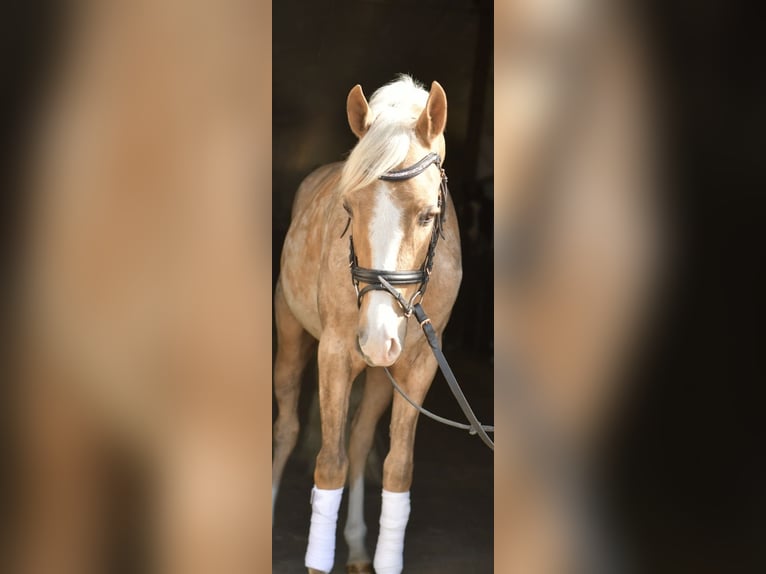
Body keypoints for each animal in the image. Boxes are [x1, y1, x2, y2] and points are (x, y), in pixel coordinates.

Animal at [272, 75, 462, 574]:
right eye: (349, 208)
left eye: (427, 215)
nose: (377, 339)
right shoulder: (335, 354)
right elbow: (329, 464)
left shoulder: (419, 366)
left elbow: (397, 469)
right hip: (293, 341)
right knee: (288, 429)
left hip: (381, 376)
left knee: (359, 441)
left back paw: (357, 547)